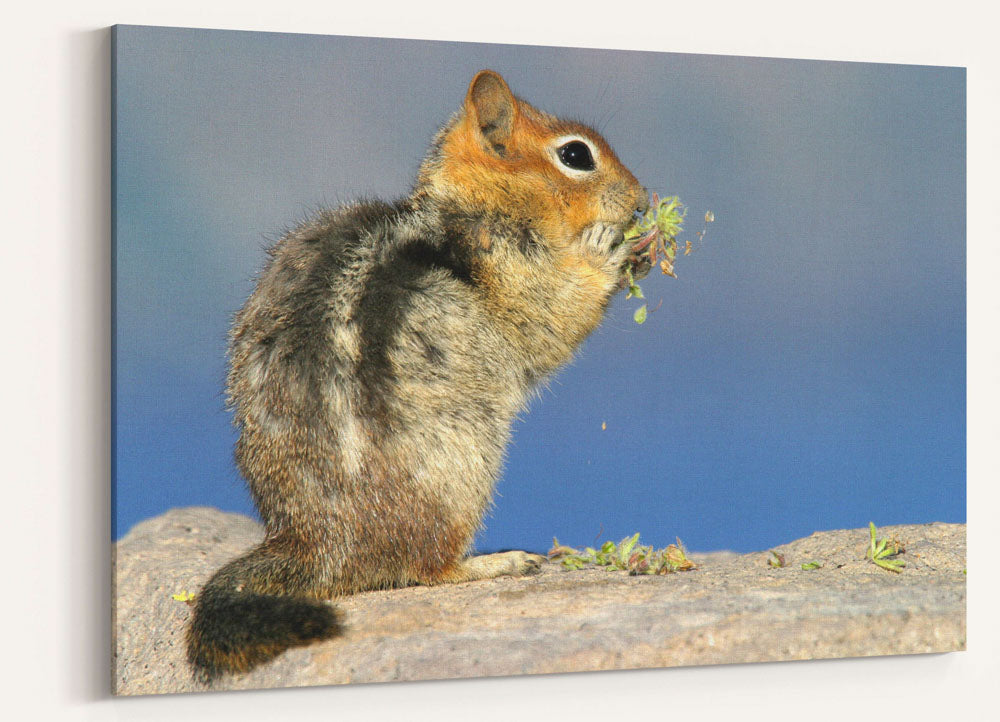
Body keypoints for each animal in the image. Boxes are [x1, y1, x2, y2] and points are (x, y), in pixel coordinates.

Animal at [188, 67, 652, 676]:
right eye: (576, 155)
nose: (644, 200)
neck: (481, 203)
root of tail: (315, 542)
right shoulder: (512, 263)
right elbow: (553, 314)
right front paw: (608, 248)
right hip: (463, 464)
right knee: (424, 568)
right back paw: (498, 562)